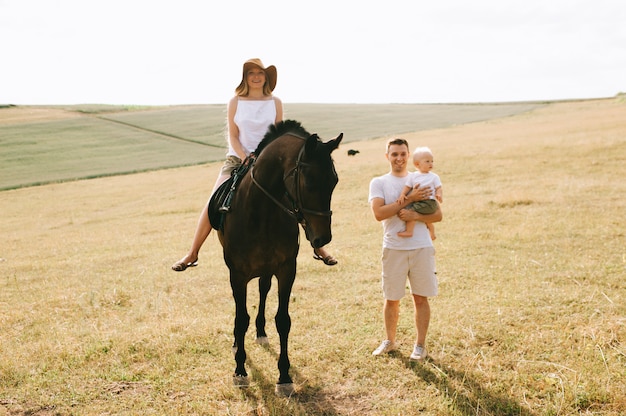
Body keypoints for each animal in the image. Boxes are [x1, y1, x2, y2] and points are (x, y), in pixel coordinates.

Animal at [207, 120, 342, 396]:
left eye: (334, 181)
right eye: (309, 182)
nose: (322, 238)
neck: (261, 212)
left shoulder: (286, 269)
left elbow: (283, 320)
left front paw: (284, 376)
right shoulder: (237, 274)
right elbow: (240, 319)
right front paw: (240, 370)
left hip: (267, 269)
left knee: (262, 290)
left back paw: (260, 331)